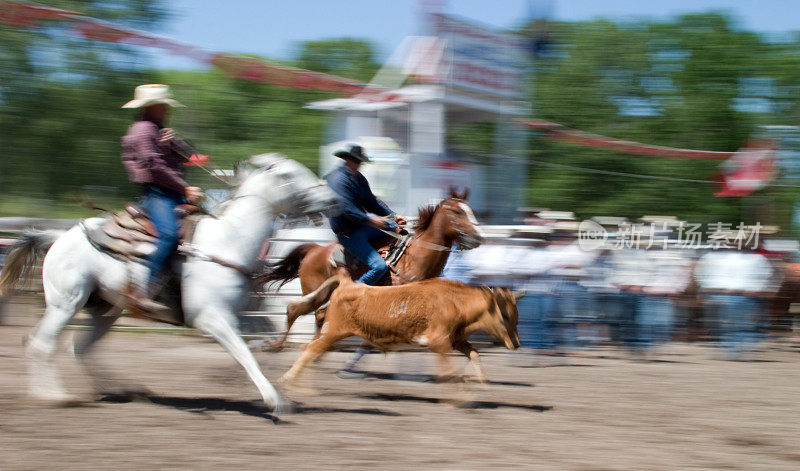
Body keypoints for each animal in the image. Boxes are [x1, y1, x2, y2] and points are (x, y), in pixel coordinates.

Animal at [0, 154, 338, 412]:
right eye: (288, 174)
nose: (332, 198)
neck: (228, 241)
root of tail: (57, 237)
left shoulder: (241, 316)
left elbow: (253, 351)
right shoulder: (211, 317)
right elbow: (245, 354)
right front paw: (275, 400)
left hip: (105, 310)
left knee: (80, 348)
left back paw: (122, 389)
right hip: (65, 303)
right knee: (42, 344)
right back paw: (55, 396)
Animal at [262, 189, 484, 350]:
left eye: (471, 210)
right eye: (458, 212)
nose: (478, 237)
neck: (416, 256)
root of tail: (314, 250)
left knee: (313, 313)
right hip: (315, 291)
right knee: (302, 311)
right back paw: (279, 344)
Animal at [280, 272, 520, 390]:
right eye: (505, 316)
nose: (517, 344)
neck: (454, 301)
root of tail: (349, 283)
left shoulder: (456, 339)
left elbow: (474, 354)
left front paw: (482, 379)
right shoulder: (439, 339)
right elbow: (449, 367)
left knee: (310, 348)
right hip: (334, 331)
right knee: (310, 349)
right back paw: (287, 378)